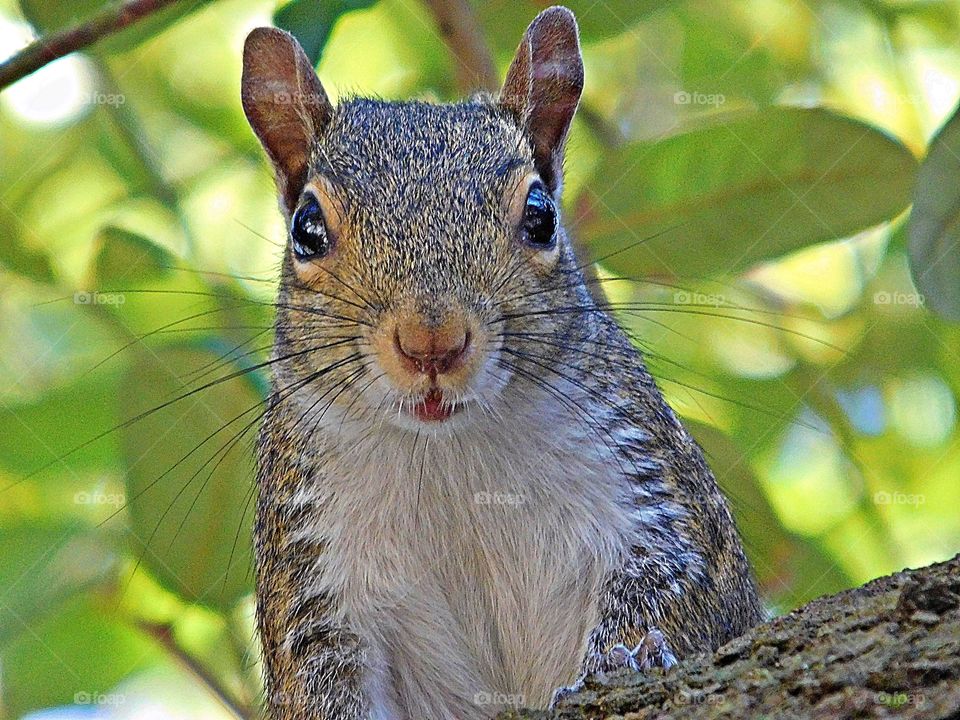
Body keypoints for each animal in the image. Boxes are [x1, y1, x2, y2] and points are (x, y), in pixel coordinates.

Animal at [242, 7, 764, 720]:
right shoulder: (311, 572)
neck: (450, 451)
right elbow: (319, 682)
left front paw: (628, 656)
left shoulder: (651, 483)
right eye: (307, 228)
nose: (431, 342)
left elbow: (679, 584)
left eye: (541, 215)